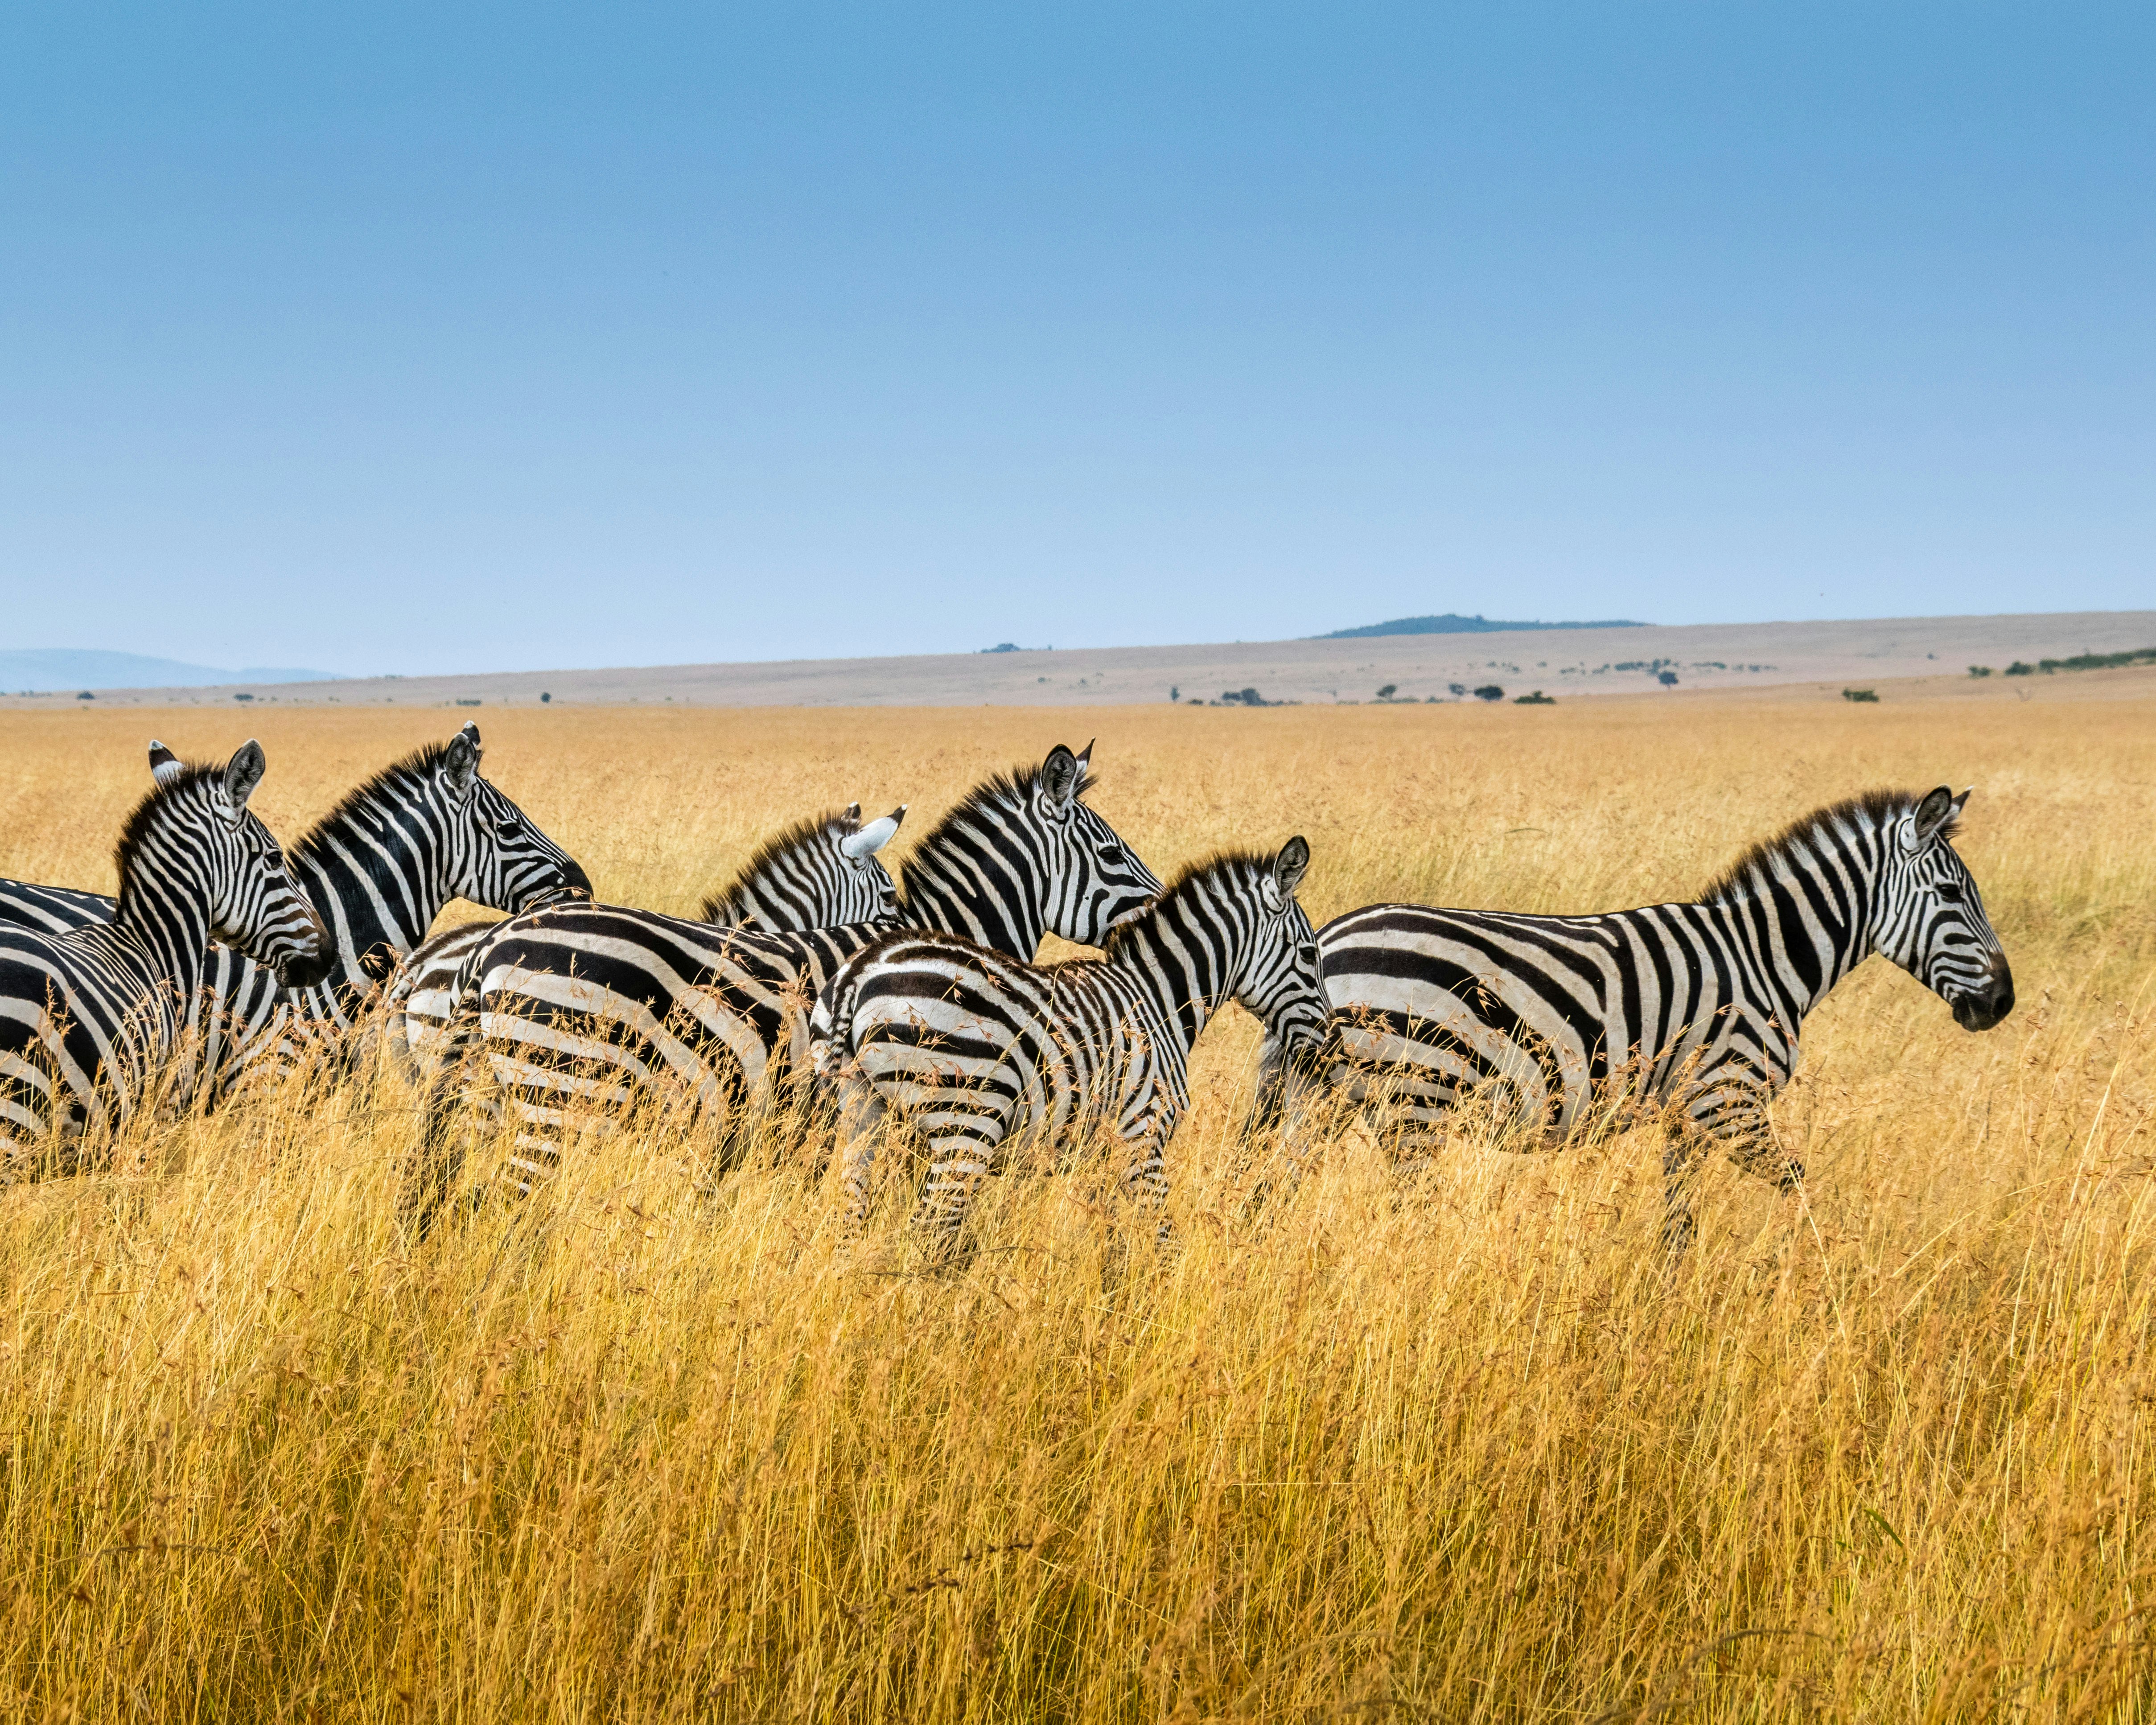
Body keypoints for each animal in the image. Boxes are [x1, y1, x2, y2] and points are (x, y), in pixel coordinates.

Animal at [822, 839, 1325, 1250]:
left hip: (862, 1113)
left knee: (851, 1223)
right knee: (930, 1229)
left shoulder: (1100, 1150)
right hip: (965, 1123)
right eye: (1308, 954)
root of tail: (861, 972)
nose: (1329, 1041)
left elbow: (1112, 1239)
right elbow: (1162, 1236)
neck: (1159, 999)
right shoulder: (1143, 1133)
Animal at [1257, 786, 2015, 1247]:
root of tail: (1328, 939)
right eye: (1954, 895)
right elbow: (1799, 1185)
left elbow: (1679, 1223)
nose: (2002, 1003)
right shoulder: (1729, 1099)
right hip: (1415, 1100)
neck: (1766, 956)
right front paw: (1816, 1275)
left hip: (1321, 1099)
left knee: (1269, 1194)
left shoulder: (1687, 1113)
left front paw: (1668, 1304)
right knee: (1400, 1215)